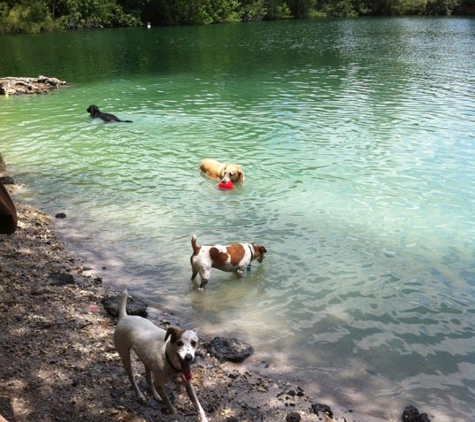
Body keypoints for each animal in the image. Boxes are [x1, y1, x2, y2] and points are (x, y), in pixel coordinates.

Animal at [113, 290, 208, 422]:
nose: (188, 357)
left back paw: (155, 395)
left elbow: (198, 405)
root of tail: (125, 316)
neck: (169, 360)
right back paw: (140, 395)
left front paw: (203, 417)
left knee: (148, 378)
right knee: (131, 377)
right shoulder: (159, 384)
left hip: (146, 359)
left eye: (194, 343)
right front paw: (173, 412)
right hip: (125, 355)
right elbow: (169, 404)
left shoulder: (187, 383)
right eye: (179, 343)